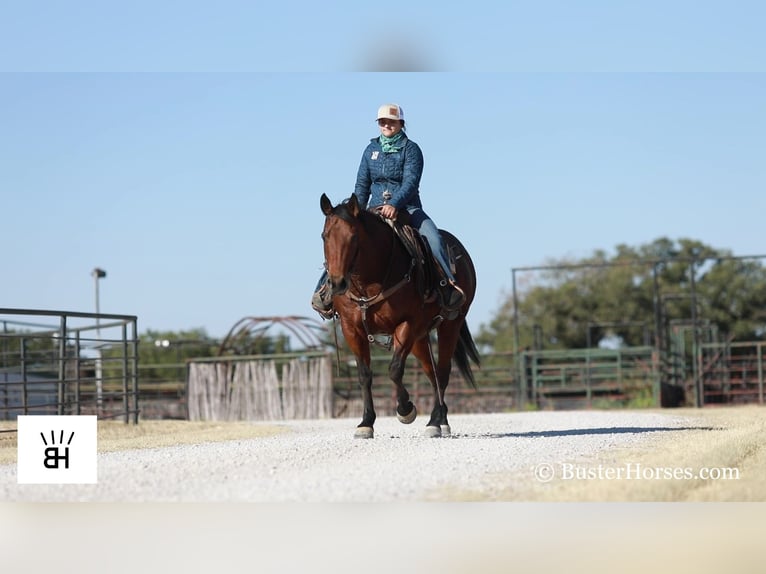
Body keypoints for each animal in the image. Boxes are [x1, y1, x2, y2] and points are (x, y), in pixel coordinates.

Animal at [318, 194, 480, 440]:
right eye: (324, 236)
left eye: (353, 236)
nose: (336, 283)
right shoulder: (351, 329)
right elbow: (364, 374)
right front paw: (366, 423)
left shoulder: (406, 324)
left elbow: (394, 370)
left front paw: (406, 410)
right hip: (421, 338)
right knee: (431, 373)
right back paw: (441, 419)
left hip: (450, 324)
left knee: (442, 372)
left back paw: (435, 422)